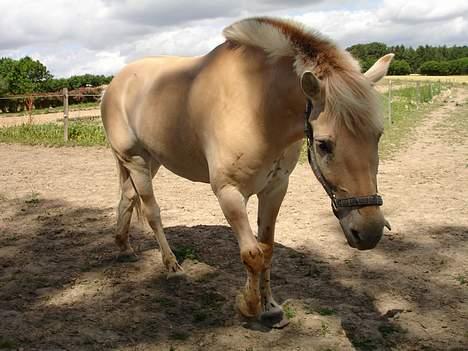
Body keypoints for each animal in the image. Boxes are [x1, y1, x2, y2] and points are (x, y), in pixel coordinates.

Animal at [100, 17, 394, 328]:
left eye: (377, 135)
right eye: (324, 144)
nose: (369, 232)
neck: (257, 106)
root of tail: (113, 85)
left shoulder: (275, 189)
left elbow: (267, 249)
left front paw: (271, 307)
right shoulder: (229, 192)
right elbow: (252, 254)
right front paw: (249, 306)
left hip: (150, 160)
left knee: (127, 198)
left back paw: (124, 248)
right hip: (136, 162)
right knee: (152, 211)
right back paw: (172, 267)